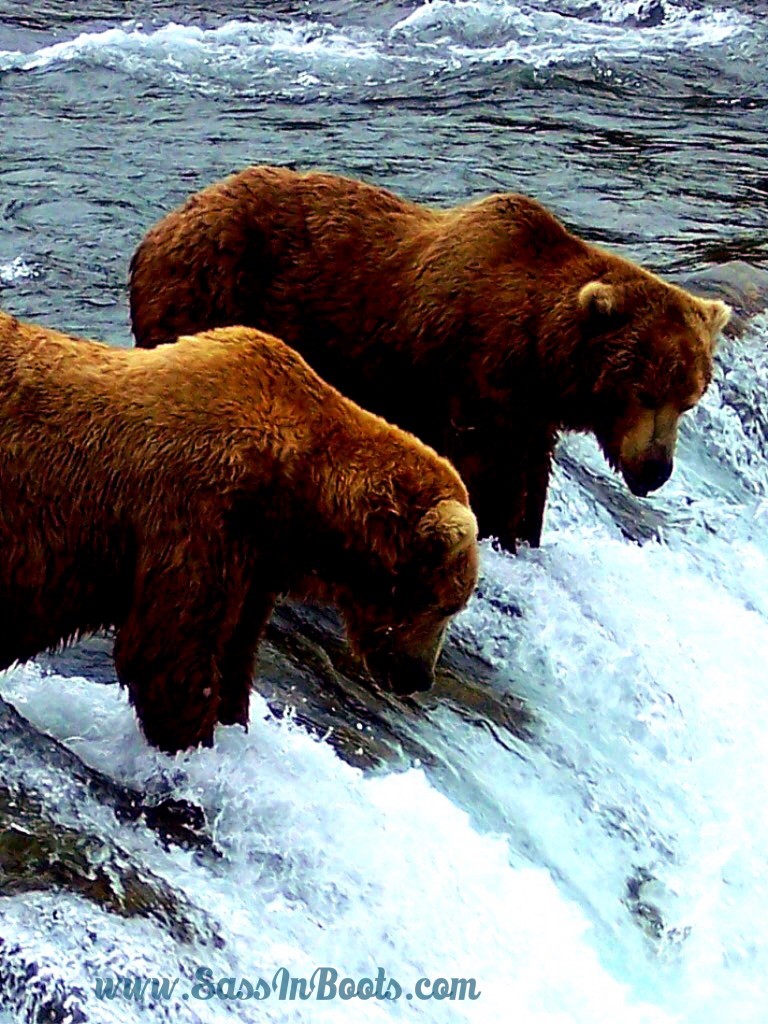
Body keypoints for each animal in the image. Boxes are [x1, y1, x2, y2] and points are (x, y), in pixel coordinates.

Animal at [0, 309, 479, 753]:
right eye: (446, 606)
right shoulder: (197, 515)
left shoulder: (253, 563)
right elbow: (170, 653)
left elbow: (234, 649)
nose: (419, 676)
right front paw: (195, 746)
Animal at [131, 166, 733, 552]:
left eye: (688, 399)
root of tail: (160, 226)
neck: (539, 352)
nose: (656, 470)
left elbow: (529, 476)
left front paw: (523, 535)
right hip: (210, 290)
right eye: (645, 391)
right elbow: (482, 473)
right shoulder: (467, 378)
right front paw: (493, 532)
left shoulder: (529, 413)